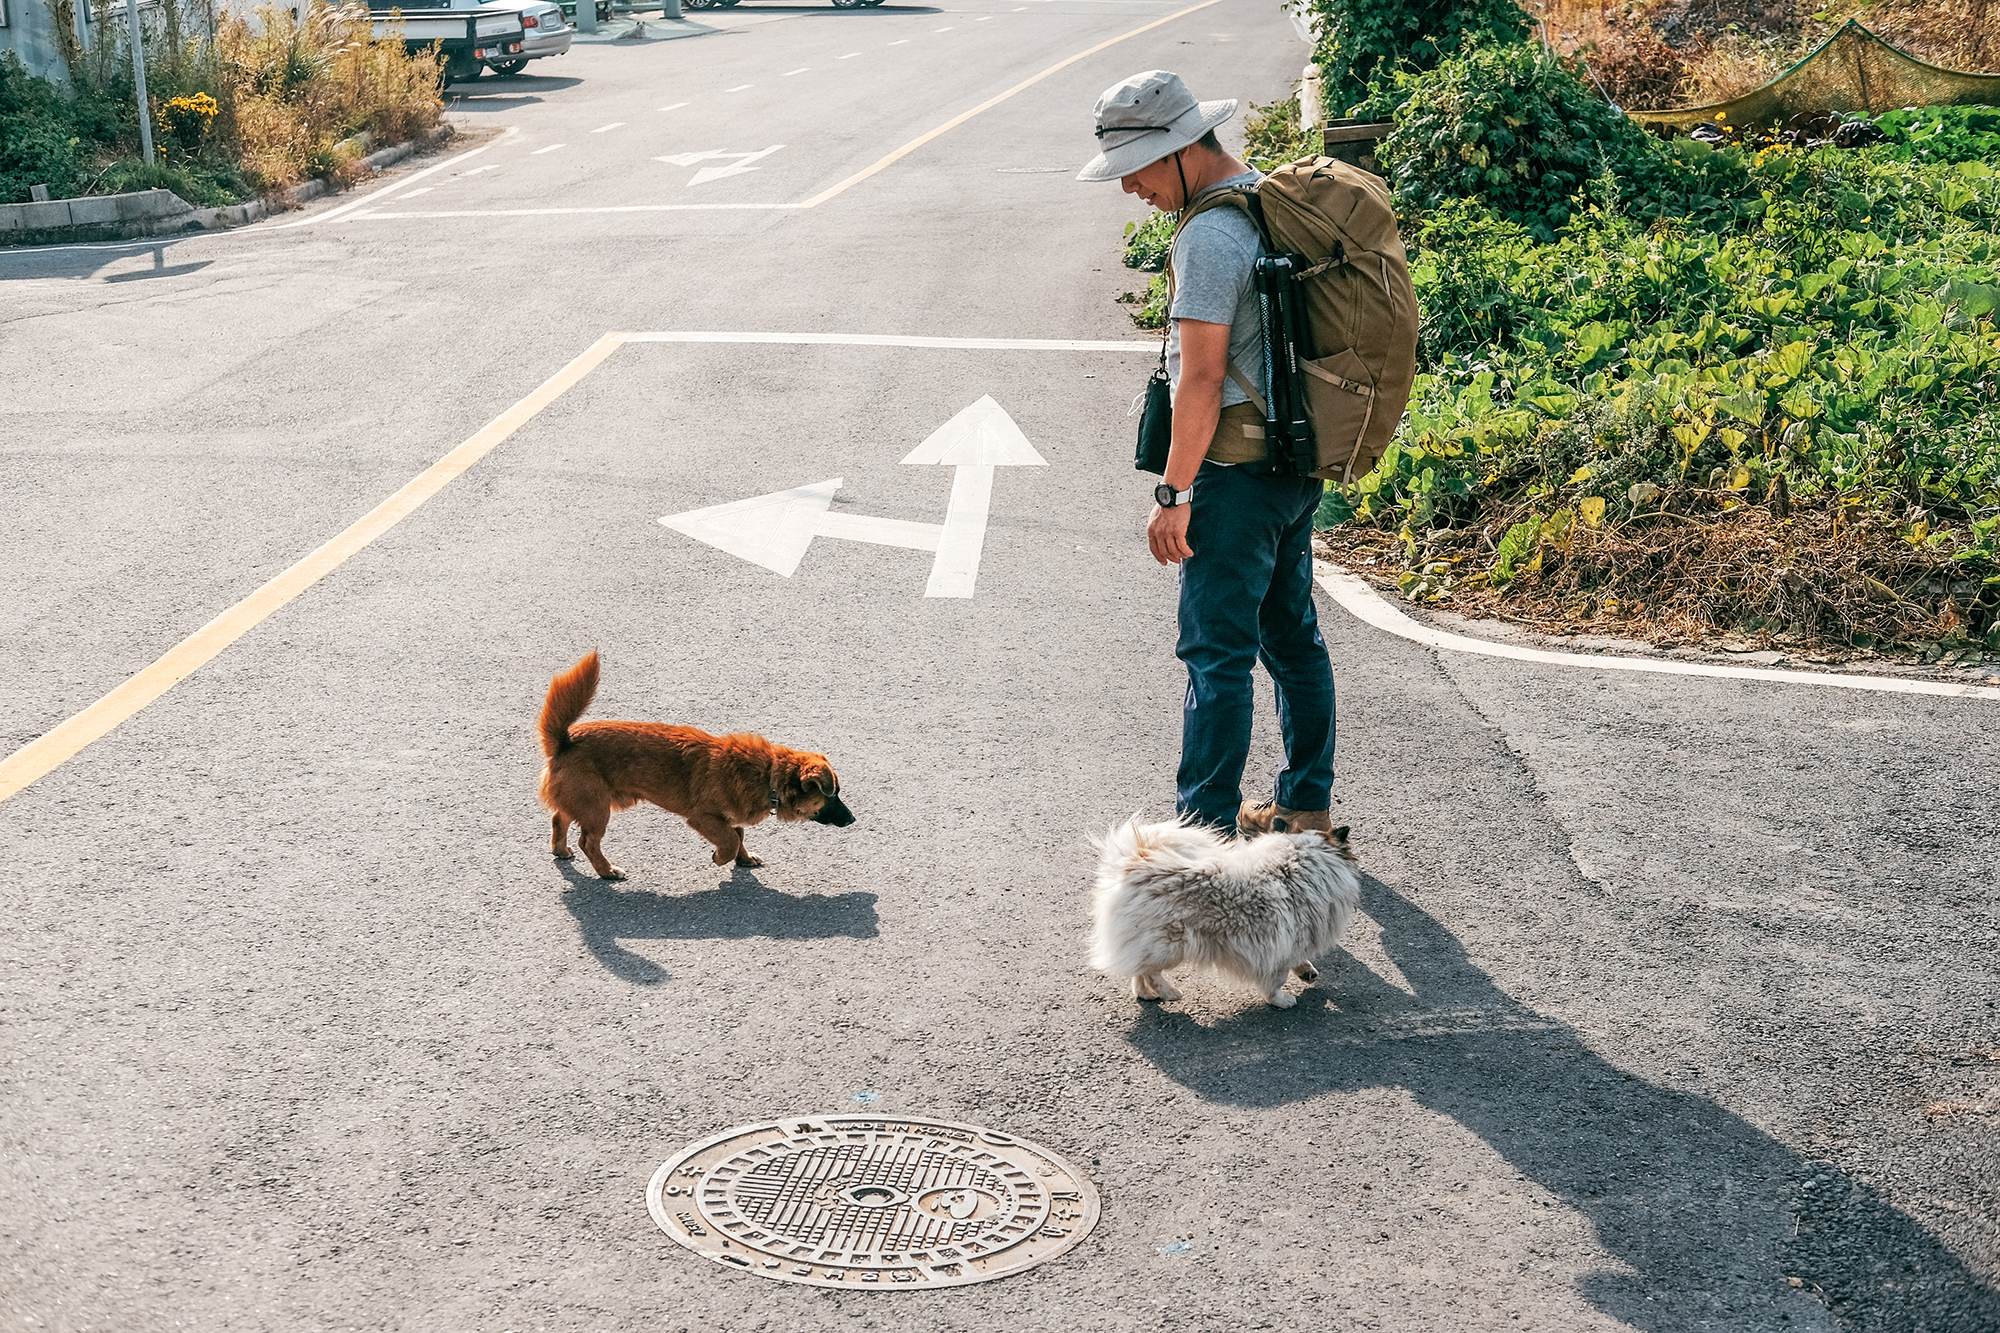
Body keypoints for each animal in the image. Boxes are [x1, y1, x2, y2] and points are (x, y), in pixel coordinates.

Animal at [532, 648, 852, 876]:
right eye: (832, 796)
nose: (853, 820)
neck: (768, 774)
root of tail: (565, 740)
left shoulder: (729, 817)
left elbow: (738, 834)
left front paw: (744, 858)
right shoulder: (703, 817)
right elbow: (730, 839)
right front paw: (722, 858)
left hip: (584, 803)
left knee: (559, 818)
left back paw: (561, 849)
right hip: (597, 808)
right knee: (588, 842)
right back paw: (607, 871)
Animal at [1096, 816, 1360, 1000]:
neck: (1295, 865)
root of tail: (1135, 860)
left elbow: (1298, 960)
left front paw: (1306, 971)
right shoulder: (1280, 947)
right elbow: (1276, 982)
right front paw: (1282, 1000)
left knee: (1139, 970)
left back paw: (1146, 994)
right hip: (1170, 947)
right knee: (1151, 972)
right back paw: (1170, 993)